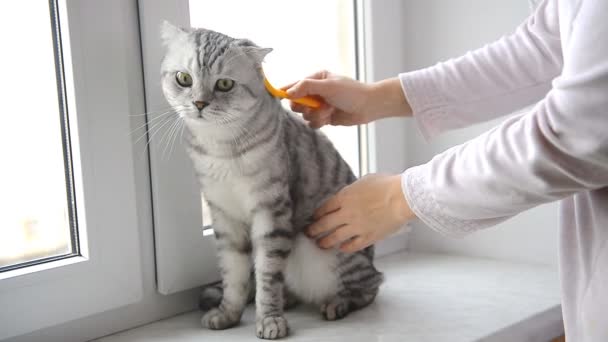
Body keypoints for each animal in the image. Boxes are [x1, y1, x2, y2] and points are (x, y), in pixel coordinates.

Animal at [159, 21, 382, 340]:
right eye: (184, 79)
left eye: (224, 84)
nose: (199, 103)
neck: (220, 147)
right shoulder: (224, 216)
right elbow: (234, 275)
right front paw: (228, 314)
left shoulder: (271, 213)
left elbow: (267, 275)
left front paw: (269, 320)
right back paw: (288, 299)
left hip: (326, 253)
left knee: (371, 284)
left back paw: (336, 303)